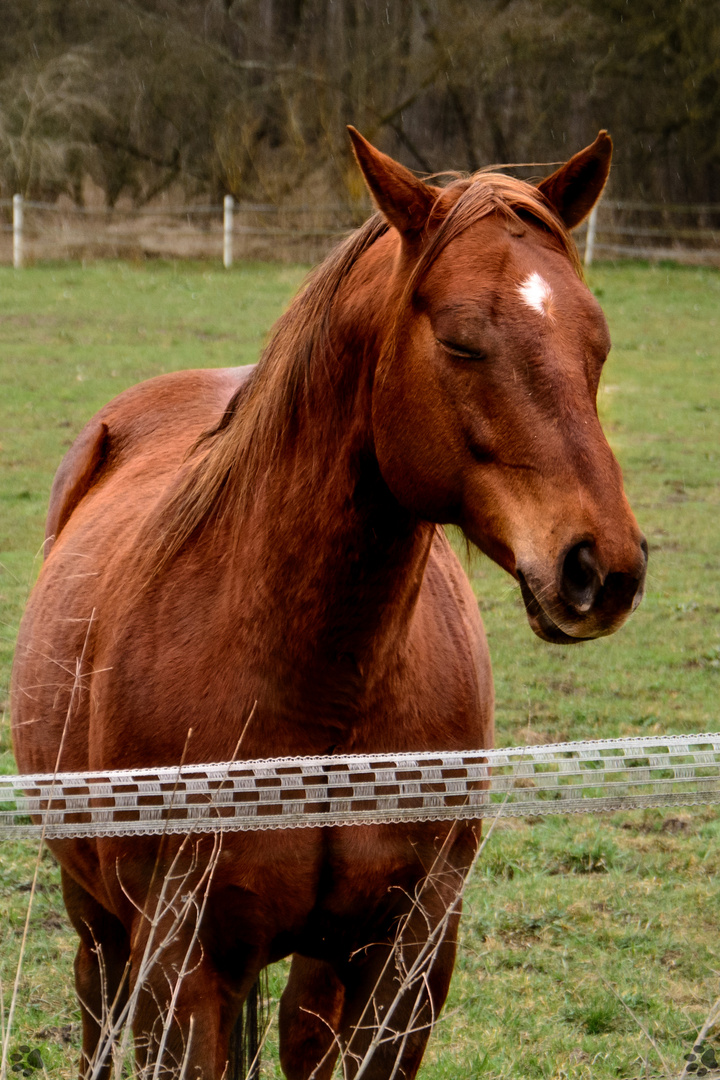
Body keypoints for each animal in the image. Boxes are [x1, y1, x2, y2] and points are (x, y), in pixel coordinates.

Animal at [9, 128, 647, 1080]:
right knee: (96, 1013)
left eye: (597, 342)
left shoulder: (410, 957)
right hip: (99, 922)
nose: (600, 569)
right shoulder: (181, 966)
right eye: (460, 342)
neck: (318, 684)